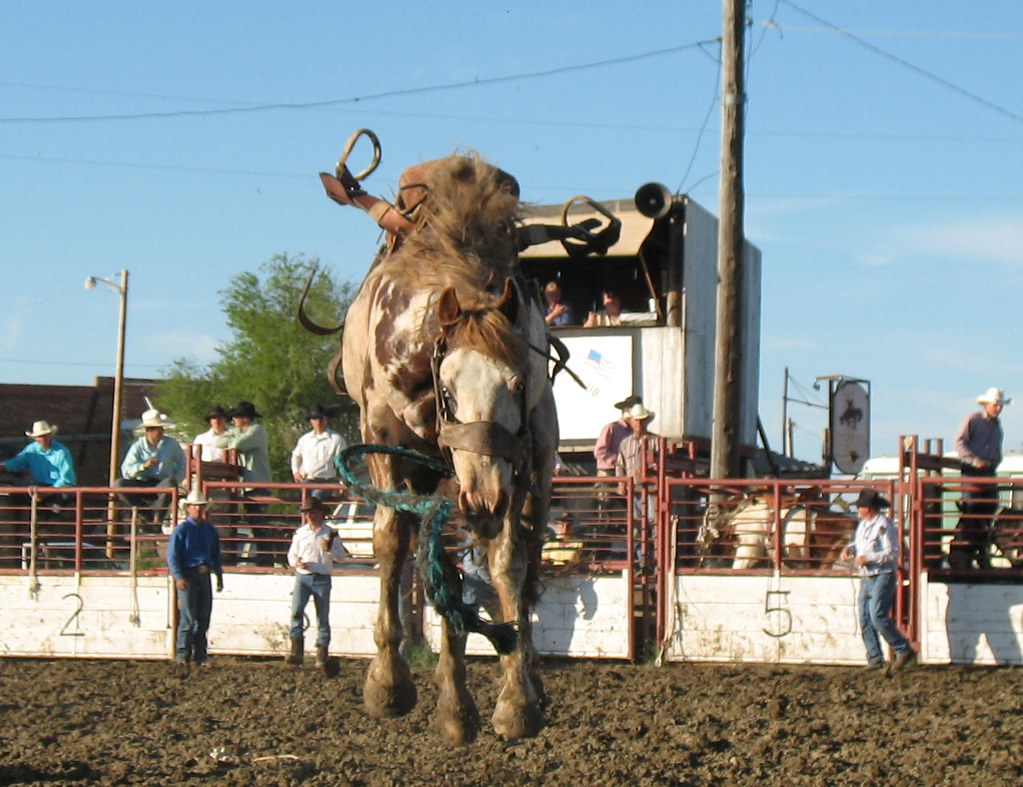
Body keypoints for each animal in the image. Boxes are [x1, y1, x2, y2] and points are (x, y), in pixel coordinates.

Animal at [337, 154, 558, 745]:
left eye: (518, 383)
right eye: (450, 391)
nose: (484, 498)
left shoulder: (513, 463)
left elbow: (505, 560)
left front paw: (515, 701)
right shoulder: (385, 439)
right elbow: (392, 543)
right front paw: (389, 683)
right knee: (427, 556)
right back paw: (450, 702)